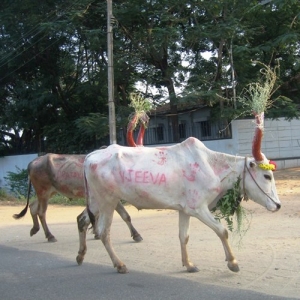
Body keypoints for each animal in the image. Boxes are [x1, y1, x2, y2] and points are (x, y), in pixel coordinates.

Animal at [14, 154, 144, 243]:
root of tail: (33, 162)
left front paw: (96, 233)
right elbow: (125, 215)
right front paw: (136, 235)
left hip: (49, 192)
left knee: (33, 207)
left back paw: (35, 229)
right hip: (43, 191)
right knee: (41, 212)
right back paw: (50, 235)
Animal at [75, 137, 282, 274]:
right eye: (267, 176)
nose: (278, 205)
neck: (212, 166)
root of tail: (91, 155)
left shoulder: (185, 210)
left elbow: (184, 237)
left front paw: (189, 264)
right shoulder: (198, 208)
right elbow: (222, 231)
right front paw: (232, 262)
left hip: (96, 202)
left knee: (82, 220)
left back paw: (80, 256)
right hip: (107, 201)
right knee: (103, 232)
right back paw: (119, 264)